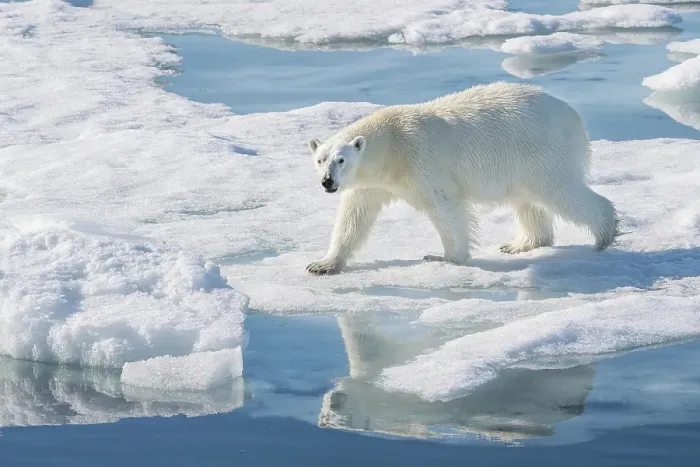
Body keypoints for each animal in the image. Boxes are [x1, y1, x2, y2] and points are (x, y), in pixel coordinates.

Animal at [306, 82, 618, 275]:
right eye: (320, 159)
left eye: (341, 159)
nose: (327, 182)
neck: (391, 145)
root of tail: (574, 116)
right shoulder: (372, 183)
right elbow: (354, 216)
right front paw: (322, 265)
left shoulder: (422, 162)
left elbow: (446, 207)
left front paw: (444, 257)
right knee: (528, 201)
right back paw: (519, 244)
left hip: (543, 151)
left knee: (561, 193)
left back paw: (604, 236)